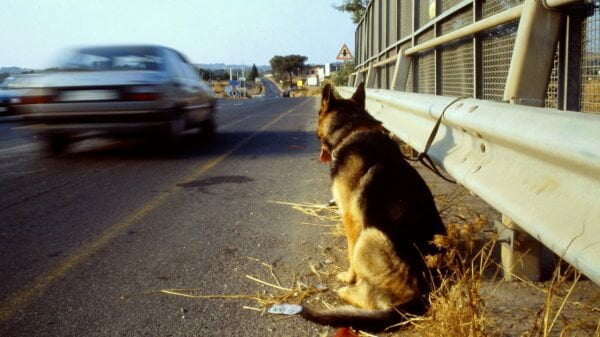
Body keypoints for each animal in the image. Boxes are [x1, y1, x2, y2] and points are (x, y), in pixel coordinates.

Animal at [300, 82, 446, 330]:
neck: (352, 129)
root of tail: (423, 295)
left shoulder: (351, 219)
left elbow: (350, 256)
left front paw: (348, 276)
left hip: (370, 235)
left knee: (372, 298)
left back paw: (347, 291)